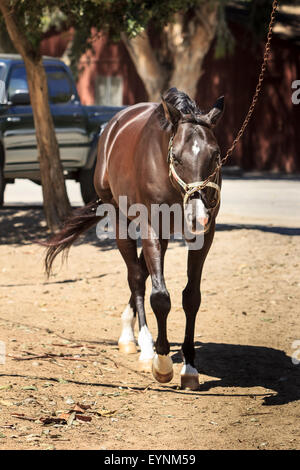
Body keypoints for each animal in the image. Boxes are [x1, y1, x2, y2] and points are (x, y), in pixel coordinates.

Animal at [44, 87, 223, 390]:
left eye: (216, 154)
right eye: (177, 157)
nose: (197, 218)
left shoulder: (204, 236)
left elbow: (191, 297)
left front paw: (189, 367)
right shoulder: (151, 227)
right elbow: (160, 296)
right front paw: (162, 364)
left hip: (165, 235)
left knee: (140, 269)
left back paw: (130, 331)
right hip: (120, 220)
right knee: (137, 277)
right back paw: (143, 345)